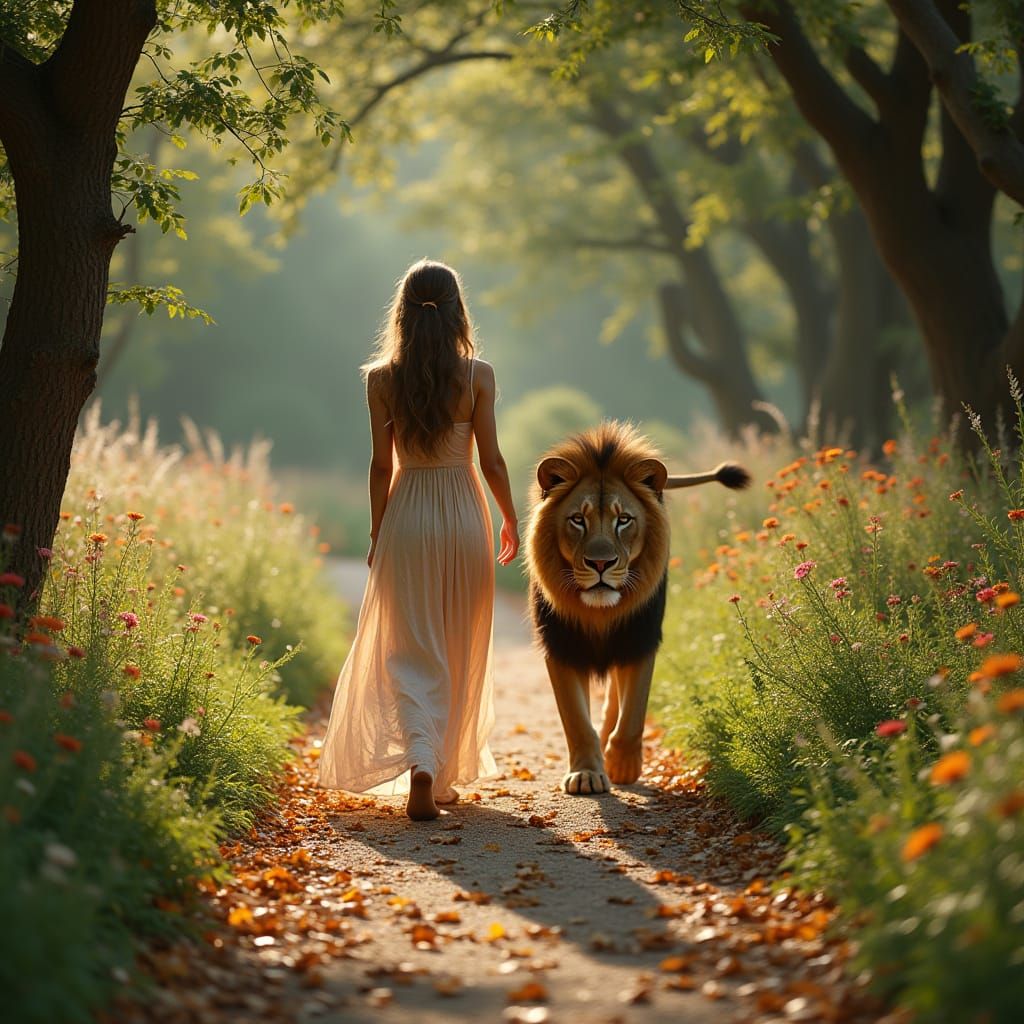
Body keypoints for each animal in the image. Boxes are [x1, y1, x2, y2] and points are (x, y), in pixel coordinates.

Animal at [524, 421, 750, 795]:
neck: (599, 612)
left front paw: (623, 765)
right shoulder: (560, 644)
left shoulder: (639, 638)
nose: (601, 563)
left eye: (624, 520)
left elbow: (632, 712)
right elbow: (576, 719)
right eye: (578, 519)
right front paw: (587, 773)